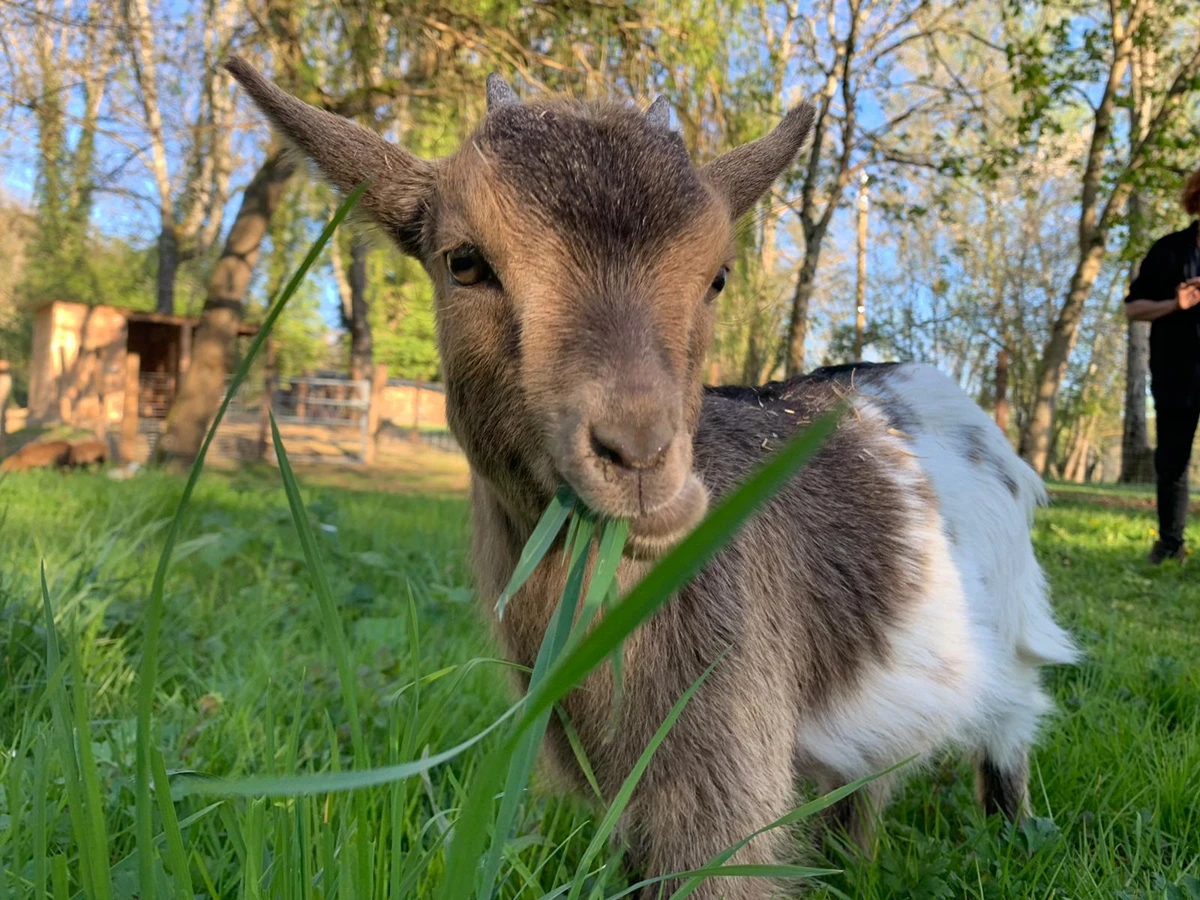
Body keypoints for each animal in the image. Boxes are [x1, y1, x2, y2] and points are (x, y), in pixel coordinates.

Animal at [225, 58, 1078, 899]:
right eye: (463, 261)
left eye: (718, 276)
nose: (639, 454)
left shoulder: (724, 788)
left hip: (1014, 635)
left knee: (1011, 731)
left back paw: (1013, 830)